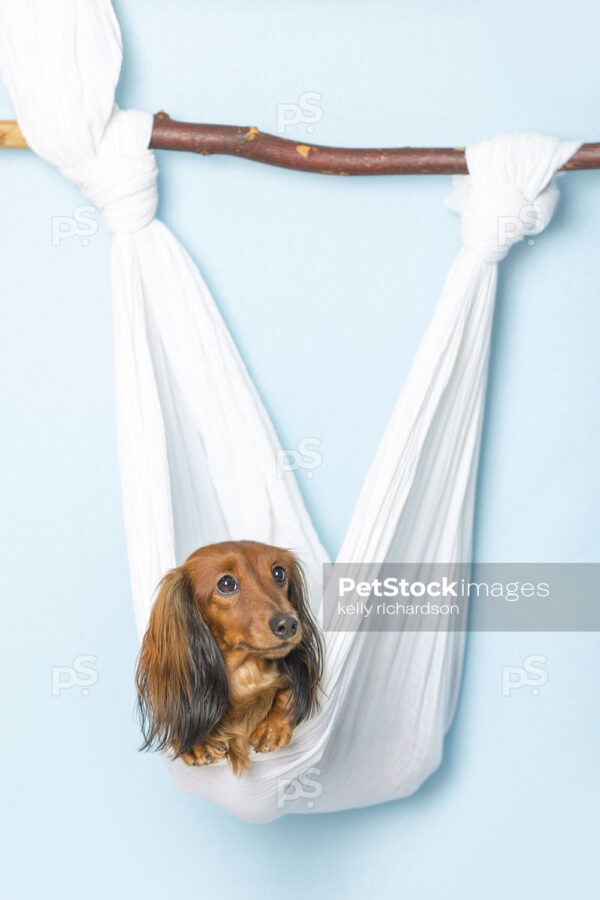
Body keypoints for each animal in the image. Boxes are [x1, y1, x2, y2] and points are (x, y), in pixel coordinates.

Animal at [136, 540, 324, 772]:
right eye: (226, 584)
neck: (246, 674)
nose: (289, 624)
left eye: (279, 573)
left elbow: (289, 692)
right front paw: (195, 743)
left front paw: (271, 727)